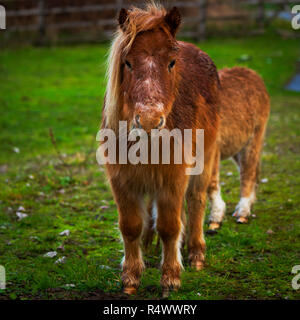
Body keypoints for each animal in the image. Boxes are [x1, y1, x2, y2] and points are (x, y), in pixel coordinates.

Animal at [101, 3, 270, 298]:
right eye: (128, 62)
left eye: (171, 62)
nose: (149, 120)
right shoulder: (123, 179)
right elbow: (131, 226)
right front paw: (131, 277)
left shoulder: (173, 177)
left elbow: (170, 226)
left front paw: (170, 278)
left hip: (210, 156)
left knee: (197, 200)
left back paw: (196, 252)